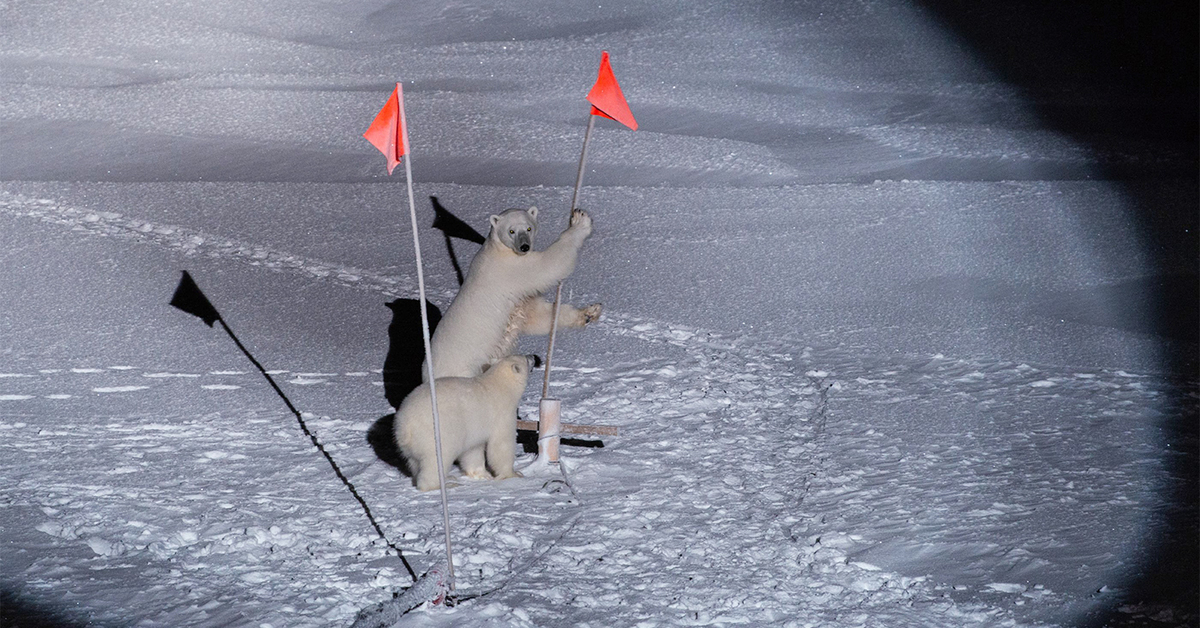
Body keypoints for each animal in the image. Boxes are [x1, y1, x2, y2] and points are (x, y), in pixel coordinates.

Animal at [393, 353, 540, 492]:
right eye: (525, 358)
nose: (533, 356)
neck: (500, 386)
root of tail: (405, 426)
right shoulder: (501, 415)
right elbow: (501, 445)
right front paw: (514, 474)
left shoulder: (474, 426)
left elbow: (473, 449)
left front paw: (482, 474)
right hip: (435, 435)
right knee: (435, 462)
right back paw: (444, 484)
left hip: (411, 446)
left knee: (414, 463)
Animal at [427, 208, 604, 381]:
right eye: (511, 231)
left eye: (528, 228)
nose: (524, 246)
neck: (498, 248)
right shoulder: (512, 268)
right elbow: (549, 264)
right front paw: (581, 220)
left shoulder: (520, 300)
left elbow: (539, 317)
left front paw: (590, 312)